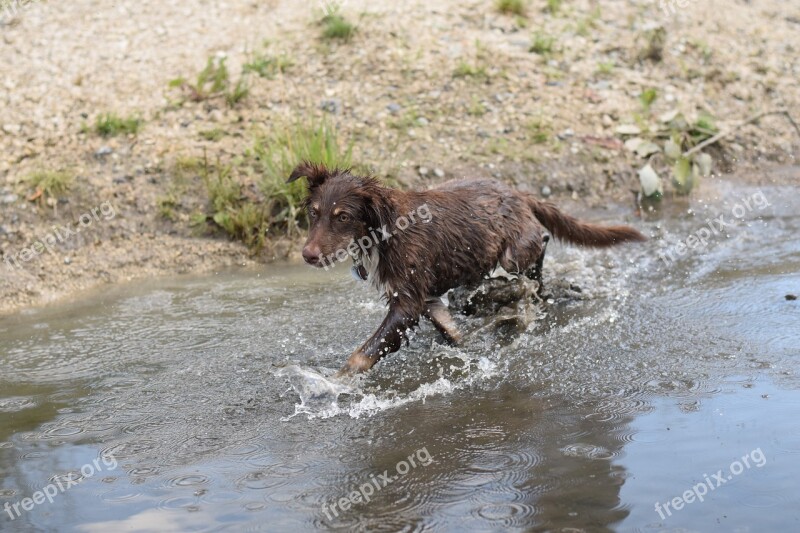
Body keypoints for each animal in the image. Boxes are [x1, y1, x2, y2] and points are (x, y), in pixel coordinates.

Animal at [288, 162, 644, 374]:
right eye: (314, 213)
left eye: (343, 217)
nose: (307, 255)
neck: (384, 230)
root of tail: (518, 192)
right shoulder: (425, 299)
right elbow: (452, 330)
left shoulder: (406, 303)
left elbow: (361, 355)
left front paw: (334, 383)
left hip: (514, 252)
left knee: (538, 253)